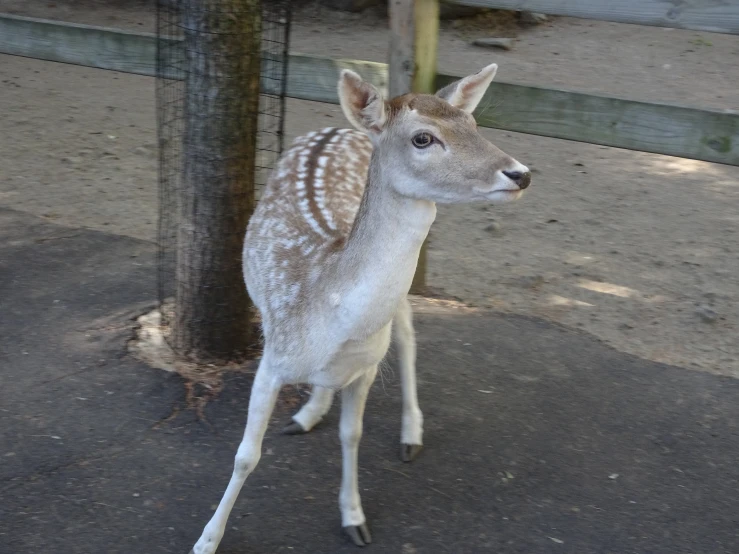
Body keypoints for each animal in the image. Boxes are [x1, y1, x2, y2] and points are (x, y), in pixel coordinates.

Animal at [189, 61, 532, 552]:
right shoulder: (272, 357)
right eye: (423, 138)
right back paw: (308, 413)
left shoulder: (367, 365)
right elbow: (245, 455)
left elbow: (351, 436)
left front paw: (354, 518)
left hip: (396, 315)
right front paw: (206, 541)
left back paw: (410, 434)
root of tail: (342, 128)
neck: (331, 321)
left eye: (473, 124)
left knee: (406, 334)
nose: (519, 173)